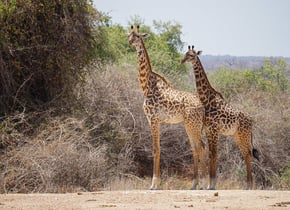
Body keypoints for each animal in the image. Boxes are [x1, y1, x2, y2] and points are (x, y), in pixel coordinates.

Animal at [129, 25, 206, 189]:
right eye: (129, 35)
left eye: (138, 36)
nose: (129, 42)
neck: (146, 86)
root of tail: (202, 107)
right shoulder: (155, 121)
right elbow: (158, 148)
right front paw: (156, 183)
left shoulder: (153, 119)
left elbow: (155, 149)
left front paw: (153, 184)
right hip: (190, 125)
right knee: (196, 147)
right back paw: (198, 184)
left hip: (193, 125)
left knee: (201, 146)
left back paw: (204, 184)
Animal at [182, 45, 260, 189]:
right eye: (185, 53)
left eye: (192, 55)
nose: (182, 61)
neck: (207, 101)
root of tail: (252, 121)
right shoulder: (208, 130)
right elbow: (211, 153)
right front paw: (210, 185)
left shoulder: (214, 130)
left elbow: (214, 154)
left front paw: (211, 185)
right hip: (237, 136)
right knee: (245, 153)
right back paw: (248, 186)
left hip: (244, 135)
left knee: (248, 153)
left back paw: (249, 186)